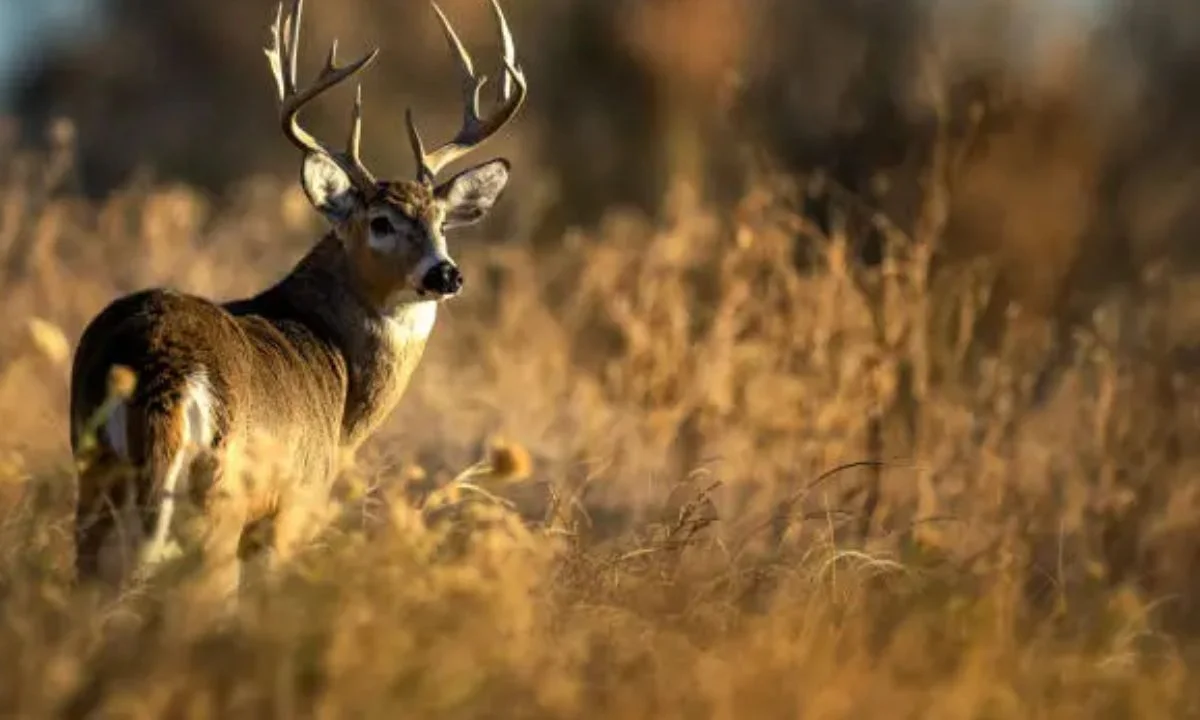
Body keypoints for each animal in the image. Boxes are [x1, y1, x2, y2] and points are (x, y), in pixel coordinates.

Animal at [68, 0, 527, 603]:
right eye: (381, 222)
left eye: (442, 223)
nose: (445, 273)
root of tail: (162, 365)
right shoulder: (295, 505)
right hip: (219, 499)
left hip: (92, 474)